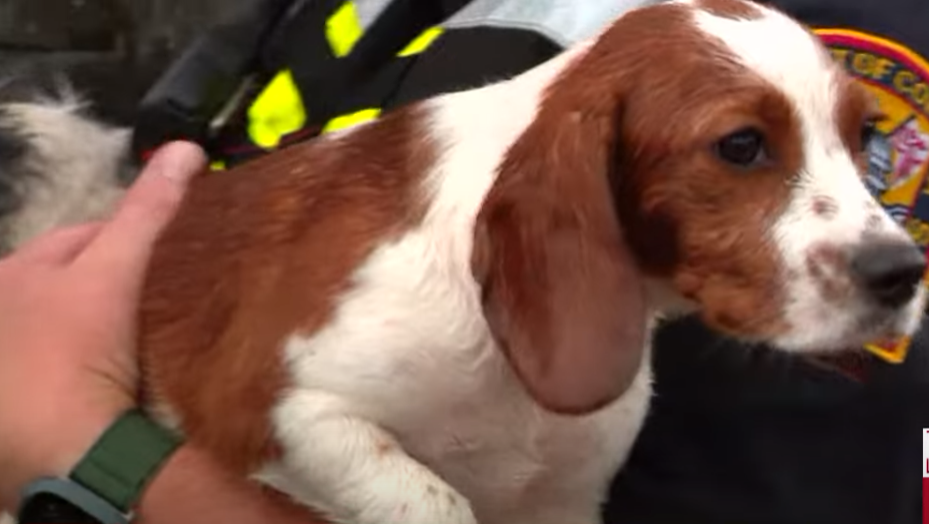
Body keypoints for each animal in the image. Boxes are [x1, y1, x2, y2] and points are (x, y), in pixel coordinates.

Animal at [1, 1, 928, 524]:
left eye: (864, 138)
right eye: (739, 146)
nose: (901, 274)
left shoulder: (563, 506)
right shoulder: (267, 402)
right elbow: (433, 499)